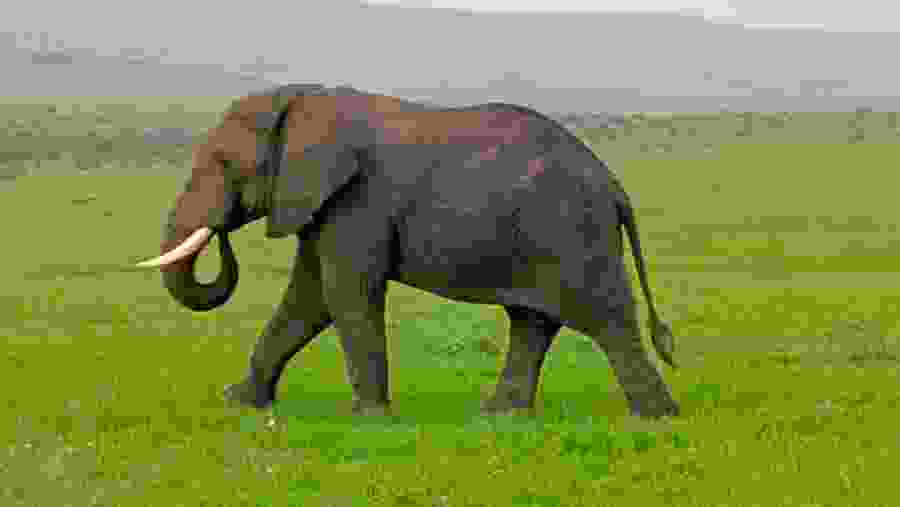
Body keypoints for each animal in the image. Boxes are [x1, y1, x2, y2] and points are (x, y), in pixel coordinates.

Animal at [136, 83, 679, 418]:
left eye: (224, 163)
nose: (221, 233)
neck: (308, 98)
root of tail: (615, 185)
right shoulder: (325, 204)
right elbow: (308, 298)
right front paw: (240, 403)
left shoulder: (358, 200)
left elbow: (343, 294)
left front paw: (370, 417)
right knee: (533, 322)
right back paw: (499, 415)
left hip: (573, 234)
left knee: (608, 321)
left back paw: (656, 418)